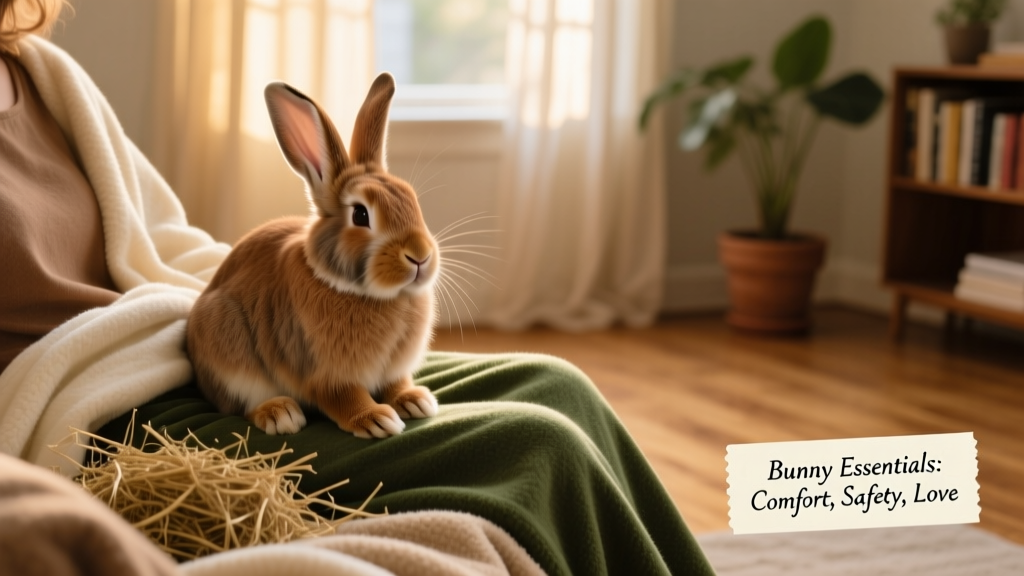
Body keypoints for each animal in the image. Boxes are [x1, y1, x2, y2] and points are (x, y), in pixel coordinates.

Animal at [185, 73, 439, 438]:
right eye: (360, 215)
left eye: (412, 200)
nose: (420, 256)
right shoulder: (323, 373)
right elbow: (344, 397)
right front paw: (376, 419)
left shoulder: (392, 371)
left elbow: (396, 384)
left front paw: (416, 400)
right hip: (226, 346)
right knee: (240, 403)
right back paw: (280, 413)